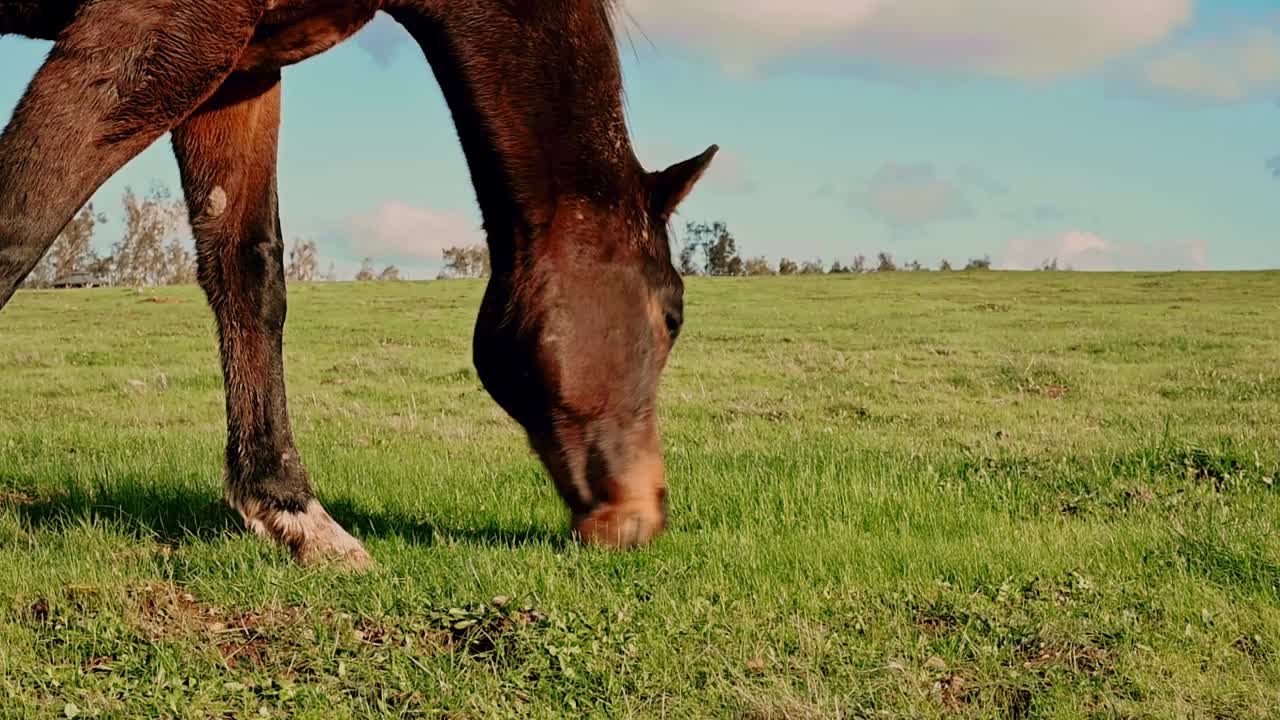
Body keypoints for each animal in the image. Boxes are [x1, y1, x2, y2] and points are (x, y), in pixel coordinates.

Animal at [0, 0, 718, 568]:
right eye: (673, 317)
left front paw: (292, 511)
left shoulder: (243, 69)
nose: (643, 514)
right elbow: (20, 223)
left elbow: (249, 273)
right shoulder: (161, 26)